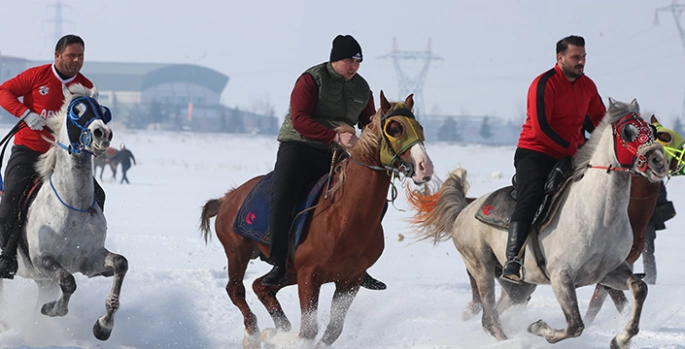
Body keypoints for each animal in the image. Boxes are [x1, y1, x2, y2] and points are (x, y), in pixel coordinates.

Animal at [3, 84, 127, 340]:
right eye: (76, 111)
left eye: (102, 110)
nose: (102, 134)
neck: (73, 207)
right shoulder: (43, 260)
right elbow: (69, 282)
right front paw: (52, 309)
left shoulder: (91, 260)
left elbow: (121, 263)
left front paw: (104, 325)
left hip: (44, 282)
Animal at [199, 92, 432, 348]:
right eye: (395, 128)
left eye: (420, 128)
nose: (425, 167)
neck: (344, 218)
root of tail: (228, 198)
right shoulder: (309, 276)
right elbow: (309, 330)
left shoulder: (350, 280)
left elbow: (332, 330)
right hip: (238, 252)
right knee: (236, 289)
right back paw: (254, 333)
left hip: (289, 271)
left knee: (260, 286)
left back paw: (275, 330)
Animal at [408, 98, 664, 348]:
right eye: (628, 131)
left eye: (651, 130)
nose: (659, 162)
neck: (599, 216)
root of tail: (465, 210)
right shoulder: (562, 277)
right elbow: (575, 325)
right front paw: (538, 328)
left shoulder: (609, 271)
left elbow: (640, 288)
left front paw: (621, 338)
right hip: (481, 268)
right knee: (490, 316)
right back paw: (512, 341)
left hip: (518, 288)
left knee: (492, 315)